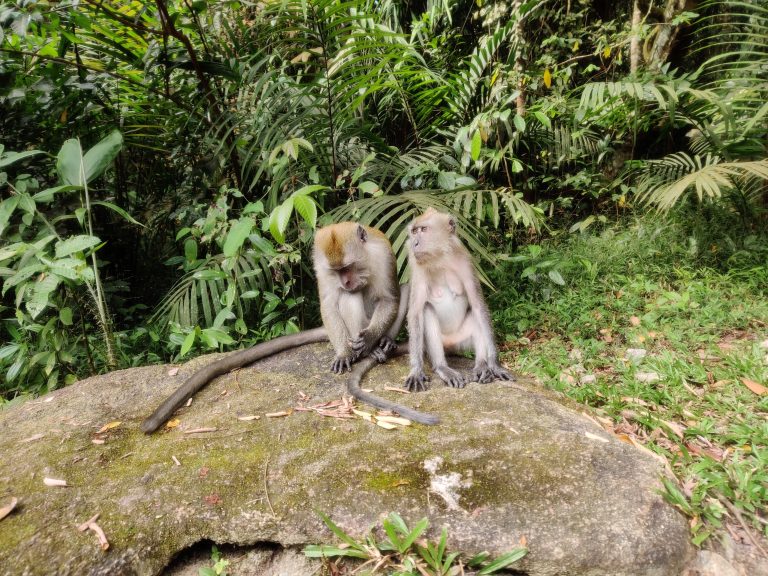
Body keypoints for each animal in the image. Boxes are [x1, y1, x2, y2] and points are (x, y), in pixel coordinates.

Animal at [141, 222, 438, 433]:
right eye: (336, 271)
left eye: (349, 266)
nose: (346, 280)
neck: (365, 259)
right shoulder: (320, 265)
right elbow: (329, 302)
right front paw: (345, 353)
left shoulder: (383, 253)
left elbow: (390, 296)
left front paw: (375, 338)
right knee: (347, 298)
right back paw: (360, 351)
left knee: (403, 290)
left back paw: (380, 345)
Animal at [404, 208, 513, 392]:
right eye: (414, 231)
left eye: (423, 230)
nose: (414, 244)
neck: (440, 259)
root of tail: (450, 344)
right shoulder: (418, 269)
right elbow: (416, 312)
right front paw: (416, 370)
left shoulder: (466, 262)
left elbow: (478, 306)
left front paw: (494, 364)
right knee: (427, 309)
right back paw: (442, 367)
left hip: (462, 341)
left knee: (475, 314)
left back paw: (481, 365)